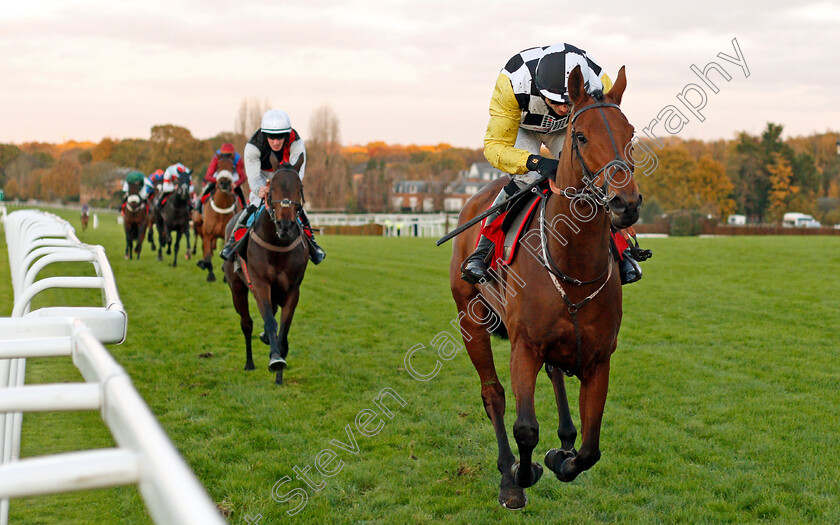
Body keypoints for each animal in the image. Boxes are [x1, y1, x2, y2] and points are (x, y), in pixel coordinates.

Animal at [223, 156, 308, 384]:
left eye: (299, 188)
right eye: (272, 189)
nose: (285, 225)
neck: (277, 245)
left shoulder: (292, 290)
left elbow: (283, 329)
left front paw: (279, 374)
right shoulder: (260, 284)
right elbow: (270, 322)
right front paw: (276, 359)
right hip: (237, 288)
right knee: (246, 323)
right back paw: (249, 363)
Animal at [450, 65, 640, 508]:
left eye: (631, 133)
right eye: (581, 135)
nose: (625, 203)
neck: (573, 264)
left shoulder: (599, 357)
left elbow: (591, 447)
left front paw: (561, 457)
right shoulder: (524, 346)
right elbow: (525, 427)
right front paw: (523, 474)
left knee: (555, 374)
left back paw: (564, 439)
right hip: (470, 319)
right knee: (493, 394)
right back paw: (508, 473)